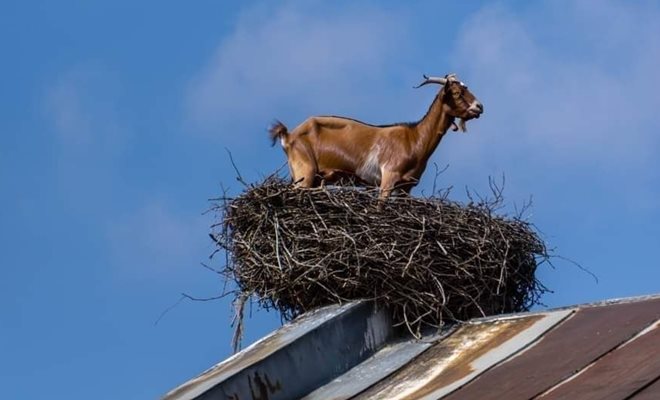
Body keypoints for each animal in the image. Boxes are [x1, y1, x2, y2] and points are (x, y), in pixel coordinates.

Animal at [270, 73, 484, 198]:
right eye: (456, 92)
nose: (479, 107)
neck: (415, 138)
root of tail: (289, 135)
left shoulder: (407, 187)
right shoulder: (388, 178)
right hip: (304, 172)